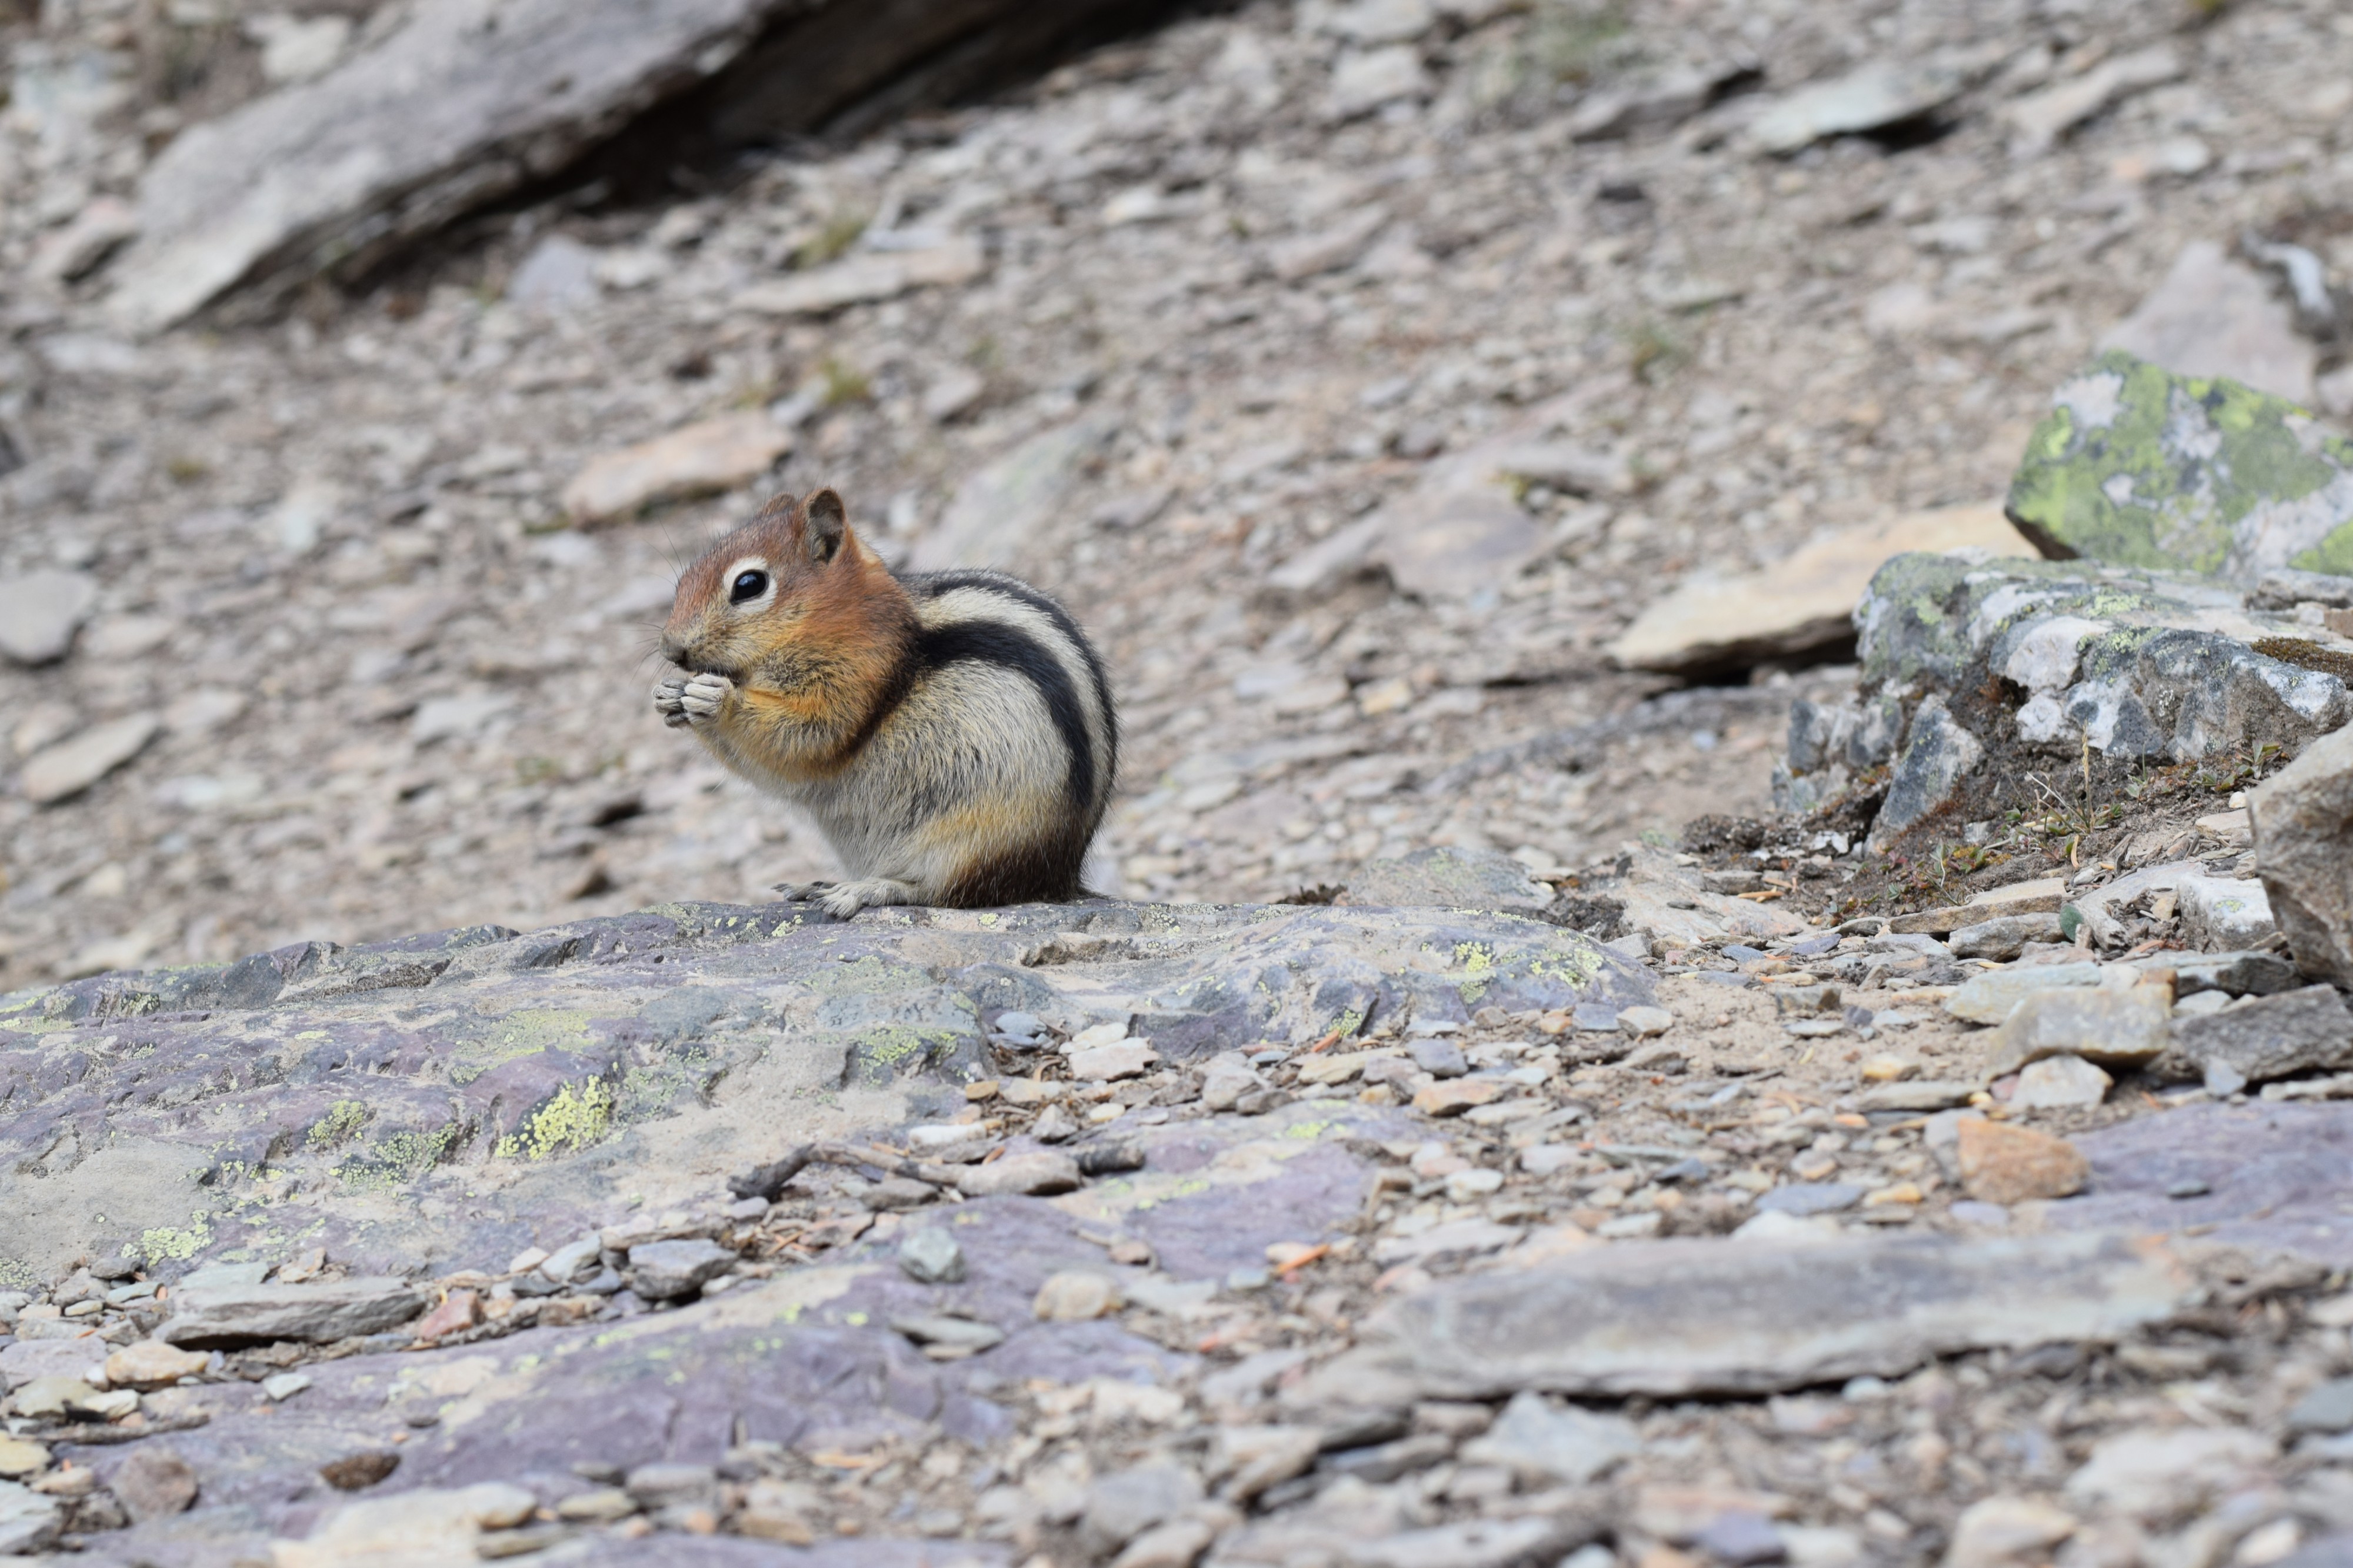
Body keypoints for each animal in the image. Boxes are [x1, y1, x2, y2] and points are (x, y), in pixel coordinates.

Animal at [653, 487, 1118, 920]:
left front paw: (717, 699)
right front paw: (671, 698)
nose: (672, 649)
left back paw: (867, 889)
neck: (841, 619)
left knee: (943, 893)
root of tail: (1059, 879)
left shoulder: (858, 679)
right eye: (683, 579)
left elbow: (806, 742)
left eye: (749, 585)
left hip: (979, 841)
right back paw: (820, 883)